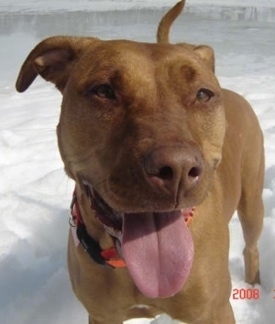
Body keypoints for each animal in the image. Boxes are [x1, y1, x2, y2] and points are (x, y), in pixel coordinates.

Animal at [15, 0, 266, 324]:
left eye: (203, 94)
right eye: (103, 91)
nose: (177, 169)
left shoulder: (214, 312)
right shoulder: (102, 315)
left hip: (252, 203)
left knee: (251, 246)